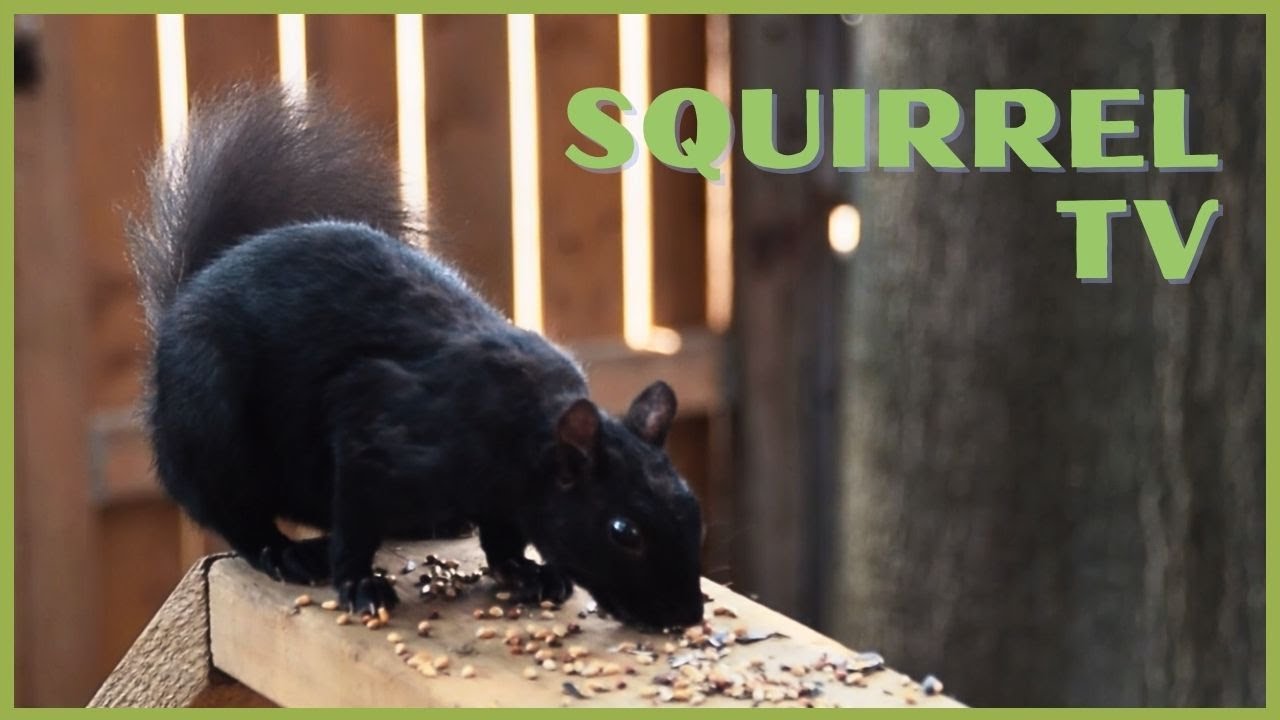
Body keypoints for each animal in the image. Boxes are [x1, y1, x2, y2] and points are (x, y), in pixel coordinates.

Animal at [128, 83, 705, 631]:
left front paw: (523, 570)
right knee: (231, 510)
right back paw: (284, 551)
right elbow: (356, 522)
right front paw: (360, 584)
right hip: (211, 422)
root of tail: (183, 303)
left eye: (692, 506)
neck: (522, 431)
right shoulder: (375, 430)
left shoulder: (503, 497)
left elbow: (502, 536)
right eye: (623, 531)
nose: (685, 615)